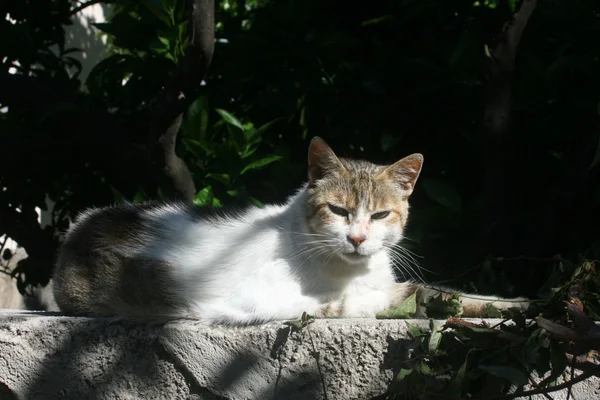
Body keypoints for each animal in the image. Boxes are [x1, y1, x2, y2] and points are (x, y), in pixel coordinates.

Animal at [52, 138, 528, 324]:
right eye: (338, 210)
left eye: (379, 216)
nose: (357, 239)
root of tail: (82, 222)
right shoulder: (249, 299)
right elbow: (349, 304)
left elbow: (443, 291)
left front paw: (520, 303)